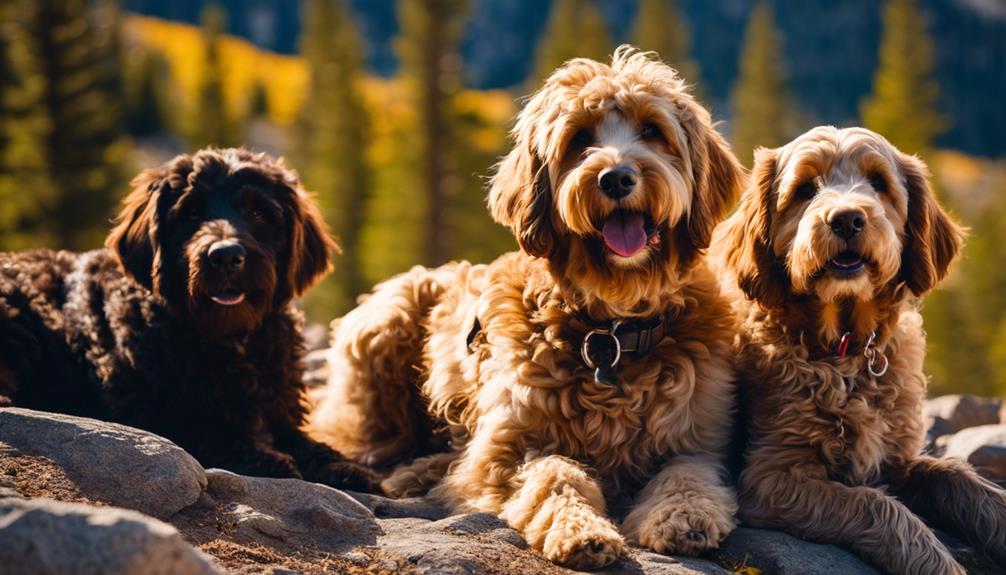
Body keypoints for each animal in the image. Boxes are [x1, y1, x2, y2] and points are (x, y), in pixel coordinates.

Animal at [0, 145, 378, 492]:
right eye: (191, 212)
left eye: (258, 211)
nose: (226, 256)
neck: (228, 337)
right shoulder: (151, 408)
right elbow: (204, 428)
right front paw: (266, 458)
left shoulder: (279, 407)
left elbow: (303, 440)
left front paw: (343, 466)